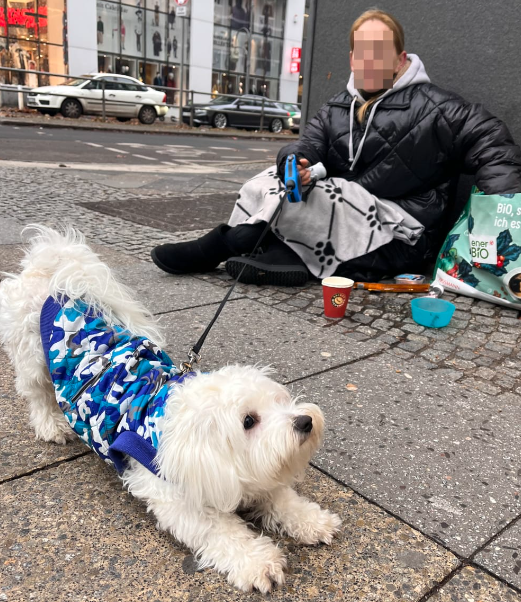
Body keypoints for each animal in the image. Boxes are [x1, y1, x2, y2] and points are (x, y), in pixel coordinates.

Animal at [0, 225, 342, 592]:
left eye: (280, 401)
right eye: (249, 421)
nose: (305, 422)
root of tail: (54, 278)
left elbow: (279, 496)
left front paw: (310, 519)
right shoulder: (176, 494)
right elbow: (218, 529)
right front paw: (256, 561)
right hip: (32, 357)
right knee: (37, 393)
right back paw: (51, 425)